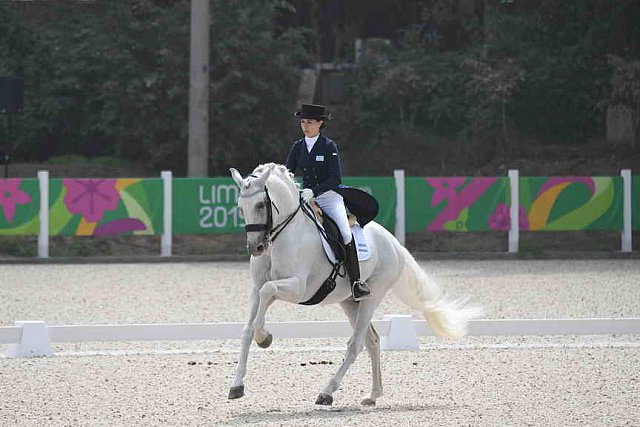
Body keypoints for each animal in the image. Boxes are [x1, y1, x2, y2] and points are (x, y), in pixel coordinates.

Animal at [228, 164, 482, 408]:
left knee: (356, 344)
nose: (256, 248)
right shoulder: (257, 289)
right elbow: (248, 327)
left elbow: (268, 292)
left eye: (261, 204)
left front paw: (265, 337)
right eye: (240, 207)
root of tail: (394, 243)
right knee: (372, 341)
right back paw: (373, 395)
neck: (285, 234)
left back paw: (327, 392)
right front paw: (237, 385)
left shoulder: (298, 288)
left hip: (373, 295)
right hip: (350, 302)